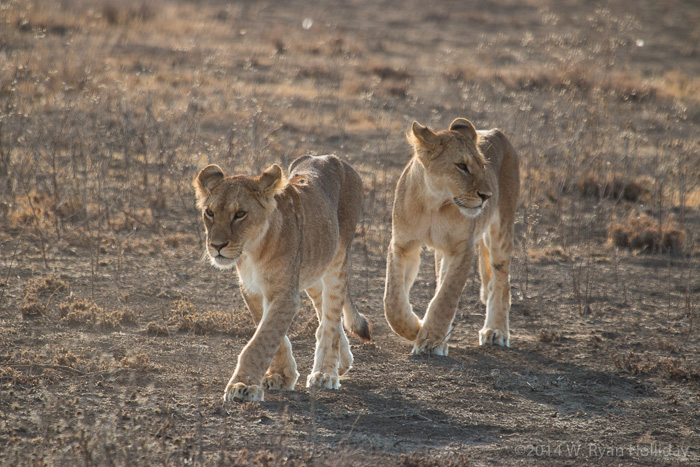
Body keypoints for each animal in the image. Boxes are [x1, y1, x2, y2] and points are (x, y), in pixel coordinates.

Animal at [196, 154, 372, 402]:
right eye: (209, 213)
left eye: (240, 214)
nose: (216, 246)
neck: (252, 252)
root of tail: (327, 156)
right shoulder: (252, 291)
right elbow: (271, 335)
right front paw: (280, 375)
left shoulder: (284, 294)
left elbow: (261, 340)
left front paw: (242, 385)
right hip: (312, 267)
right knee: (327, 314)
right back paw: (342, 362)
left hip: (338, 257)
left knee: (331, 319)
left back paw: (326, 373)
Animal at [382, 118, 520, 354]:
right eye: (461, 166)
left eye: (483, 166)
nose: (487, 196)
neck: (433, 203)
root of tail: (496, 131)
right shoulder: (402, 245)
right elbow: (393, 301)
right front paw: (416, 327)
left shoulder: (462, 249)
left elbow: (446, 296)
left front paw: (430, 340)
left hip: (501, 227)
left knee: (500, 282)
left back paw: (495, 331)